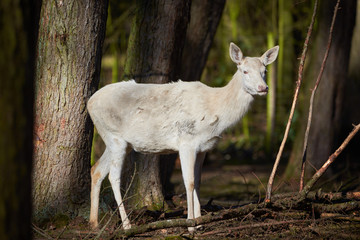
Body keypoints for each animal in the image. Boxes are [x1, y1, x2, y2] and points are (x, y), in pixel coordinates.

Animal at [87, 42, 278, 232]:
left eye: (265, 71)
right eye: (244, 71)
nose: (263, 88)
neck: (215, 112)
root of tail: (89, 103)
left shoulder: (203, 147)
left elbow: (199, 182)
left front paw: (200, 222)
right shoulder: (186, 141)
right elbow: (189, 182)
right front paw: (190, 224)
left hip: (118, 142)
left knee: (96, 169)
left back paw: (94, 223)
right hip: (114, 136)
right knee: (113, 176)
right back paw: (127, 225)